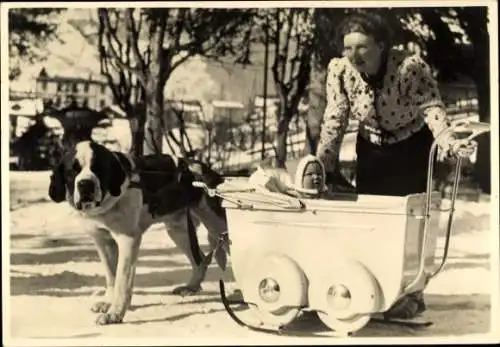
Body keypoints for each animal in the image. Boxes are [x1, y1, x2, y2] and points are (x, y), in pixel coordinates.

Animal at [48, 140, 229, 324]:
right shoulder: (103, 241)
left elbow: (122, 280)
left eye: (98, 168)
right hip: (179, 231)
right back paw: (191, 287)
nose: (85, 184)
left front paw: (115, 314)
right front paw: (108, 302)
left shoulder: (128, 240)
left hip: (219, 226)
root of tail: (205, 170)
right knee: (200, 259)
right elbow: (111, 276)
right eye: (72, 171)